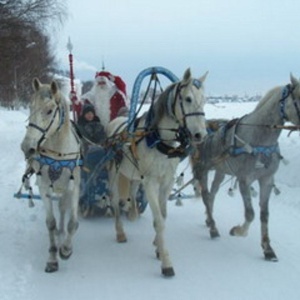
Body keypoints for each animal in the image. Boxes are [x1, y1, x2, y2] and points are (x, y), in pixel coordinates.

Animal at [21, 78, 82, 272]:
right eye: (30, 107)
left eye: (49, 110)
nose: (27, 147)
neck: (58, 155)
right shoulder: (44, 188)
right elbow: (50, 223)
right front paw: (53, 257)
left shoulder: (74, 188)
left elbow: (73, 223)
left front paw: (66, 250)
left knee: (63, 208)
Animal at [106, 68, 209, 276]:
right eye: (187, 99)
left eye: (204, 100)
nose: (201, 135)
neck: (159, 140)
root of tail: (116, 122)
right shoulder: (151, 182)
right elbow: (159, 221)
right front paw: (166, 261)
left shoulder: (166, 181)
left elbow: (162, 215)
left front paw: (157, 246)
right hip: (115, 173)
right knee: (114, 201)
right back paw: (120, 231)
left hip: (135, 175)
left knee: (131, 191)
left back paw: (132, 211)